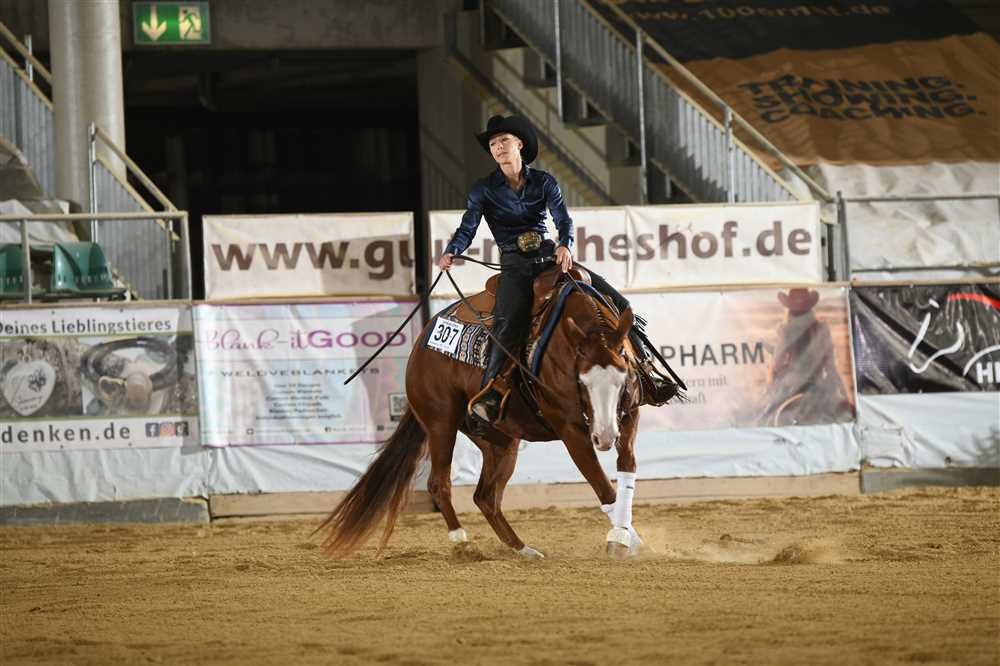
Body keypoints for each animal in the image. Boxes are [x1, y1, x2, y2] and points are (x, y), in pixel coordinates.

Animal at [317, 266, 644, 560]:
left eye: (623, 375)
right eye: (582, 381)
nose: (604, 436)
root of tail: (421, 344)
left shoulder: (628, 414)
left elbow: (626, 466)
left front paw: (628, 535)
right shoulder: (571, 430)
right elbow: (603, 487)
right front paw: (620, 540)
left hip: (499, 439)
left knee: (485, 497)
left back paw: (523, 550)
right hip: (440, 423)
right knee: (439, 484)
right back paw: (462, 543)